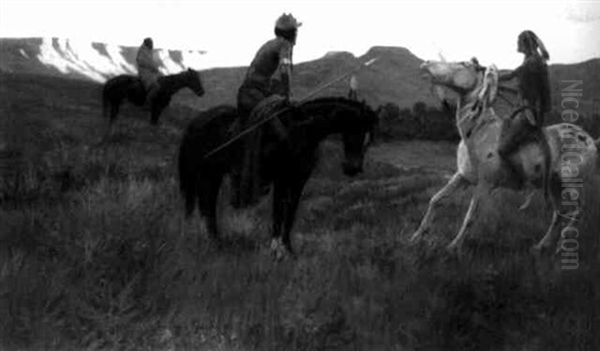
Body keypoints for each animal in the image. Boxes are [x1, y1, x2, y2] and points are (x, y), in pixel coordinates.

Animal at [176, 97, 378, 260]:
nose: (352, 168)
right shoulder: (281, 179)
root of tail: (195, 123)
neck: (301, 131)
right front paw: (276, 251)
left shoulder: (298, 181)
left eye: (369, 137)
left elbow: (290, 214)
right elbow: (278, 213)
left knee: (207, 204)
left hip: (212, 174)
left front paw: (289, 251)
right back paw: (212, 241)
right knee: (206, 204)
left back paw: (215, 241)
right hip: (207, 173)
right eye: (357, 130)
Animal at [412, 59, 600, 254]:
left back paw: (560, 247)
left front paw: (453, 247)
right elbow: (436, 200)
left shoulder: (485, 184)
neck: (479, 131)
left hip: (570, 185)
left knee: (576, 212)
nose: (426, 64)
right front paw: (416, 237)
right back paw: (540, 246)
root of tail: (591, 140)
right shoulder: (462, 177)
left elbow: (470, 217)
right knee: (559, 214)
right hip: (555, 186)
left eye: (463, 64)